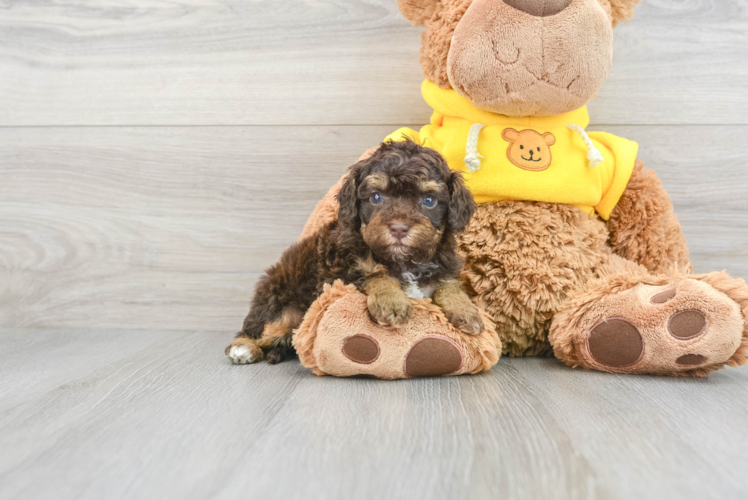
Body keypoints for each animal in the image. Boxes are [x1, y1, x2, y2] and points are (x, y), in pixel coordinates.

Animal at [228, 139, 482, 366]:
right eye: (376, 197)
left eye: (428, 200)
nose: (399, 228)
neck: (404, 260)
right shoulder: (339, 271)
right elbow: (374, 275)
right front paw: (392, 302)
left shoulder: (442, 265)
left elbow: (448, 285)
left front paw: (467, 311)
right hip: (281, 307)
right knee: (257, 329)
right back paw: (243, 348)